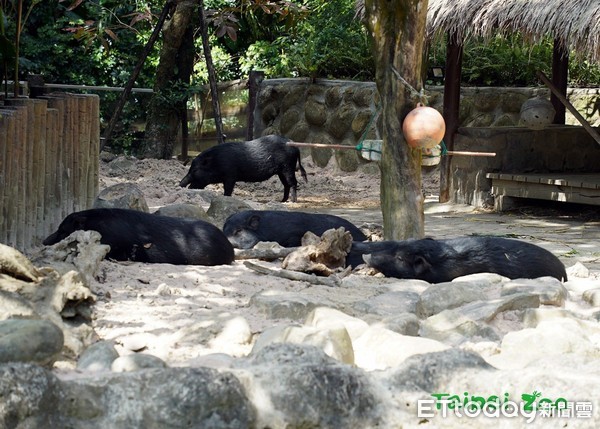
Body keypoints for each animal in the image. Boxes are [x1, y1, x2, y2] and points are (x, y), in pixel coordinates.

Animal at [179, 135, 308, 202]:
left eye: (195, 170)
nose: (180, 184)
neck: (216, 162)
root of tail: (295, 145)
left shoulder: (230, 176)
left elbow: (228, 190)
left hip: (288, 167)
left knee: (293, 183)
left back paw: (293, 201)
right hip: (281, 171)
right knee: (286, 185)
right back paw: (282, 201)